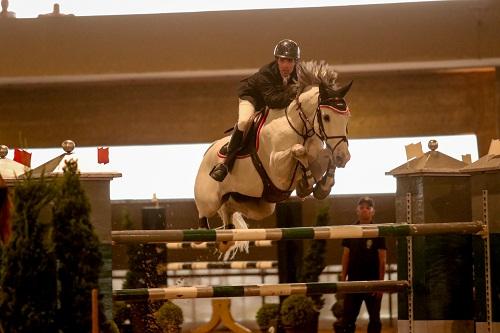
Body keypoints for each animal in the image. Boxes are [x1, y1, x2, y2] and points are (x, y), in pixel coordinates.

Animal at [193, 60, 350, 256]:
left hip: (258, 205)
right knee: (204, 216)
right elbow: (298, 150)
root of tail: (207, 151)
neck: (299, 126)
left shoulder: (315, 158)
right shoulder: (277, 170)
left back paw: (226, 239)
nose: (344, 156)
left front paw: (322, 186)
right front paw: (306, 184)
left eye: (347, 117)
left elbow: (324, 155)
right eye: (326, 117)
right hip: (209, 200)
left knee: (229, 209)